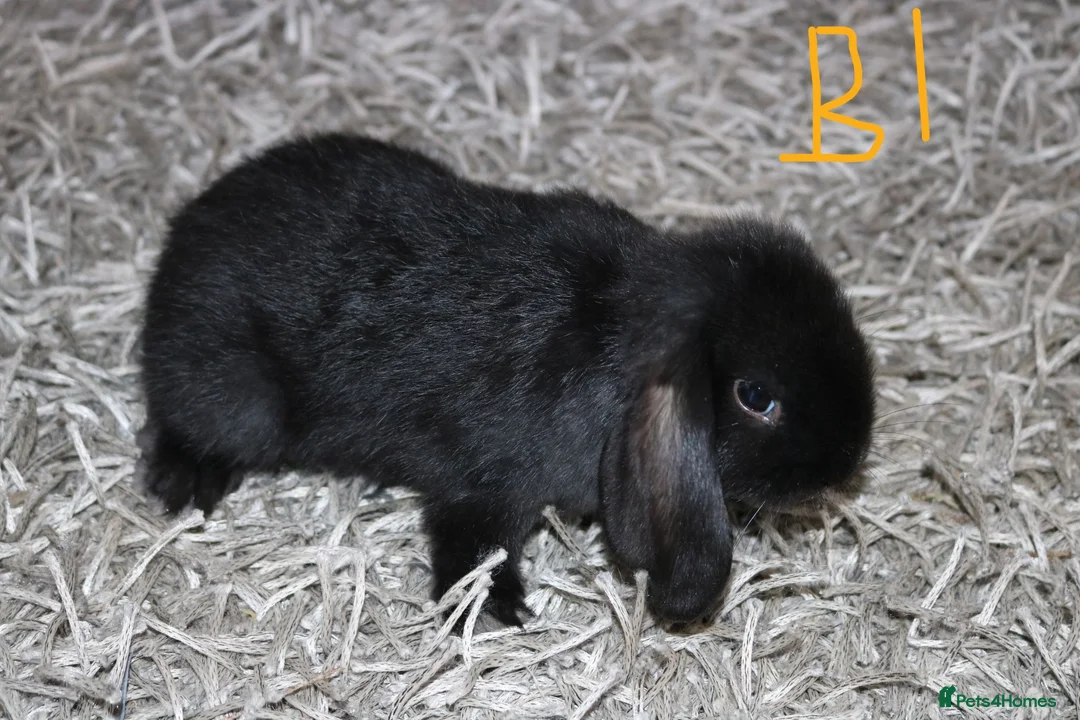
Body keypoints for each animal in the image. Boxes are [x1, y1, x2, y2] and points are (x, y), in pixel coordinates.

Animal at [138, 132, 875, 628]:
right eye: (756, 397)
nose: (847, 463)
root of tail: (183, 240)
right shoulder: (482, 484)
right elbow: (472, 547)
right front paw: (498, 609)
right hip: (236, 402)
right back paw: (187, 481)